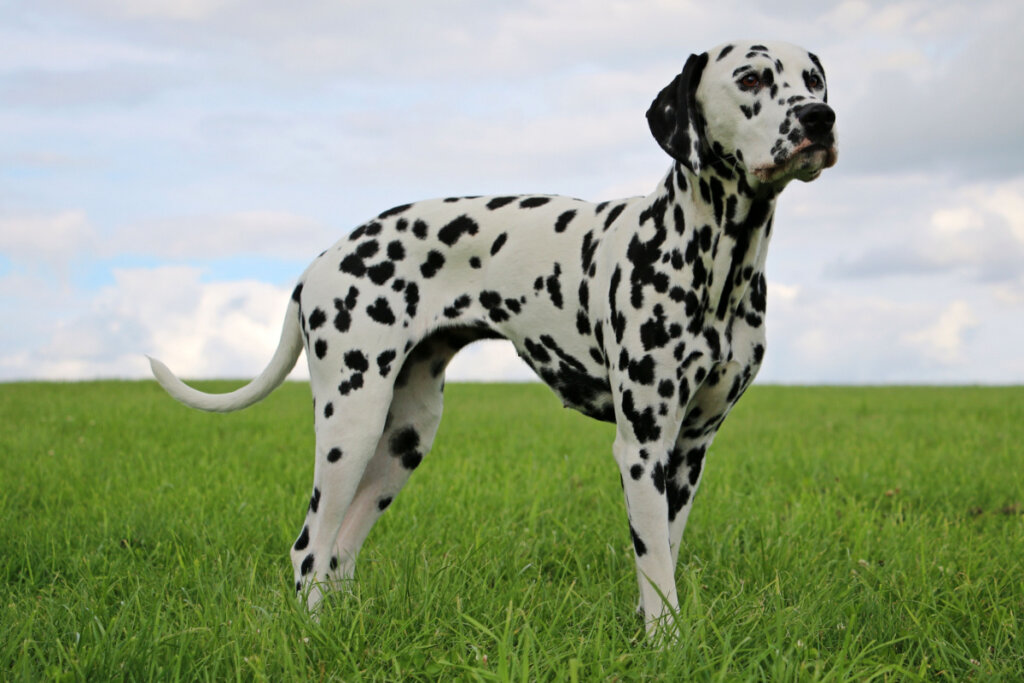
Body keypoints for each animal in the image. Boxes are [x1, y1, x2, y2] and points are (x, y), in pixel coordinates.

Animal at [153, 40, 839, 634]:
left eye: (814, 80)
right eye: (751, 78)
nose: (821, 117)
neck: (718, 261)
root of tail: (318, 263)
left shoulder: (690, 449)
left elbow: (662, 559)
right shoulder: (641, 446)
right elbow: (654, 568)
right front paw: (665, 643)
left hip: (404, 439)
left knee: (338, 554)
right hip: (351, 423)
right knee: (308, 550)